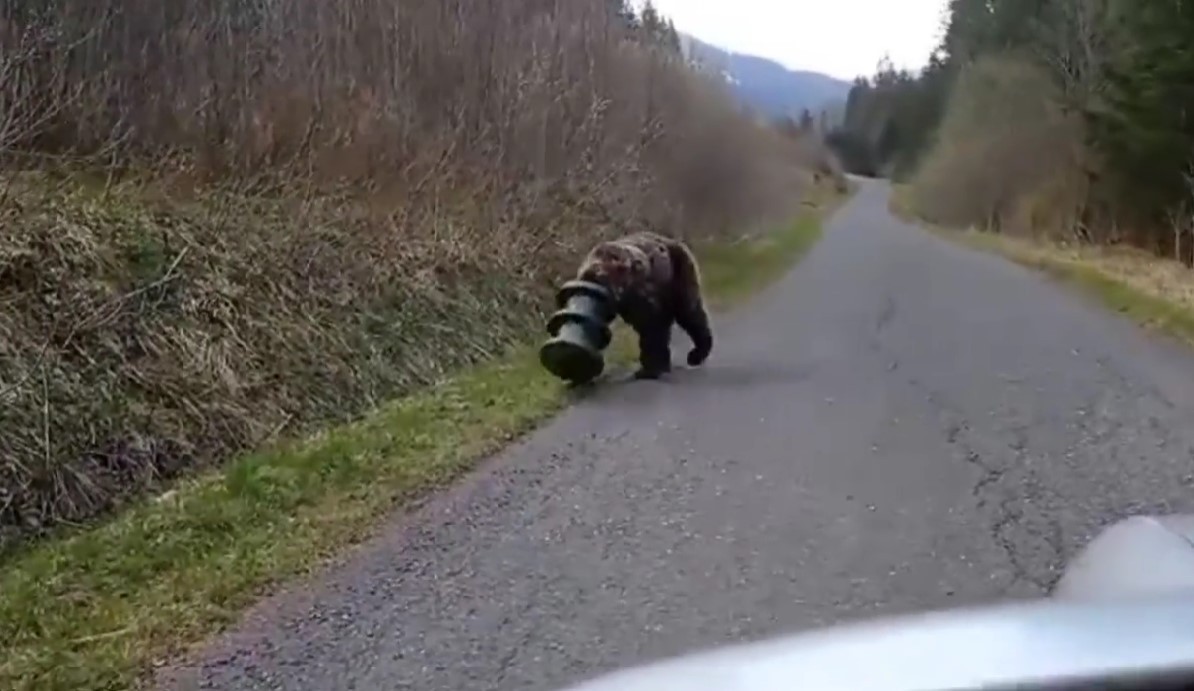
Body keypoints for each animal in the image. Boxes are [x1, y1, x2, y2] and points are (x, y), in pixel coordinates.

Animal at [575, 231, 711, 381]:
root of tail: (669, 240)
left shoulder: (639, 292)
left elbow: (650, 325)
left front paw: (649, 369)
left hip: (679, 270)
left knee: (688, 312)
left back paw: (696, 354)